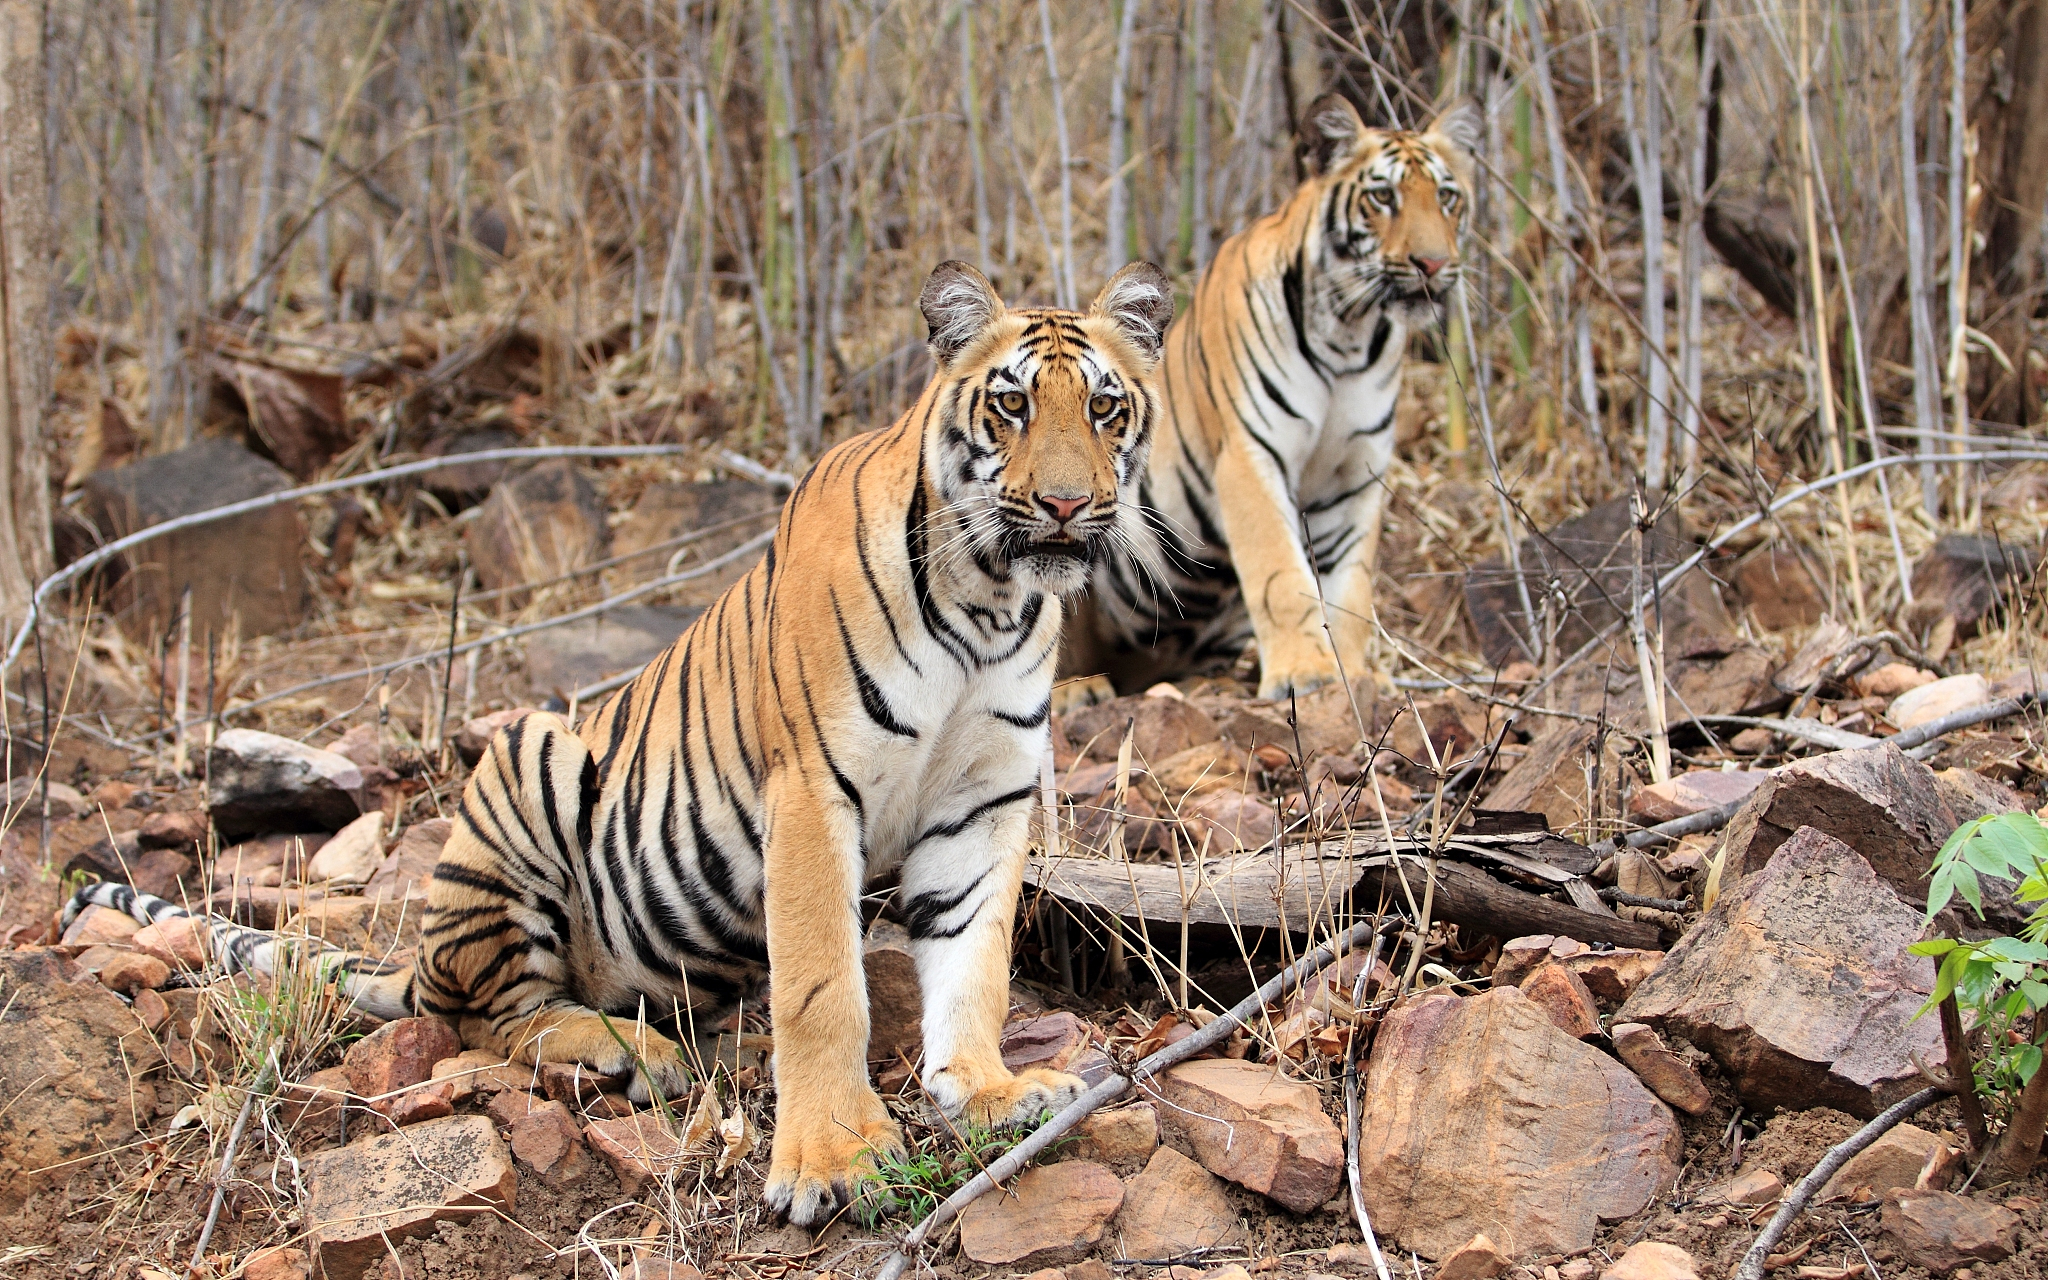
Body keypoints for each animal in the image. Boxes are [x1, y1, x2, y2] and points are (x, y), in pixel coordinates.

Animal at [72, 257, 1179, 1220]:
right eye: (1010, 405)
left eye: (1104, 407)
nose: (1066, 504)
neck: (988, 600)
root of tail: (420, 952)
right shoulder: (813, 789)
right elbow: (823, 986)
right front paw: (832, 1157)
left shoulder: (982, 800)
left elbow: (972, 959)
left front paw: (984, 1089)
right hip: (529, 761)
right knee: (485, 1014)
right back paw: (622, 1049)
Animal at [1064, 94, 1482, 704]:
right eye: (1384, 197)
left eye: (1447, 197)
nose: (1433, 264)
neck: (1351, 336)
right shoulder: (1248, 456)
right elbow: (1280, 572)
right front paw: (1304, 673)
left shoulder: (1356, 474)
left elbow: (1351, 590)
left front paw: (1353, 675)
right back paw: (1078, 688)